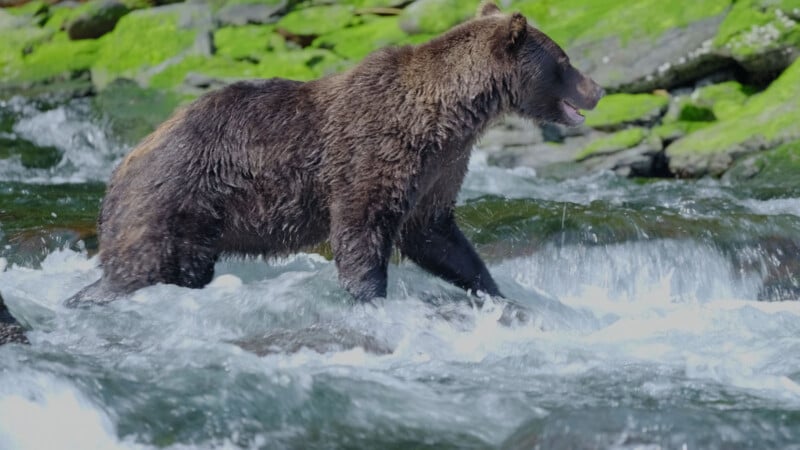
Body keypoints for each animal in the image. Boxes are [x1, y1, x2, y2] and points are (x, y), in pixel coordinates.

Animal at [67, 2, 603, 306]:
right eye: (565, 60)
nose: (597, 89)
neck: (450, 114)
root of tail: (118, 168)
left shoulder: (441, 166)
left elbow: (435, 234)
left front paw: (493, 290)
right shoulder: (375, 151)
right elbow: (361, 229)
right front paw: (370, 298)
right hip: (173, 199)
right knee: (144, 267)